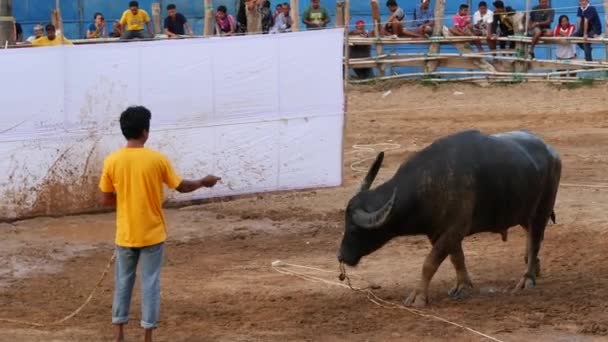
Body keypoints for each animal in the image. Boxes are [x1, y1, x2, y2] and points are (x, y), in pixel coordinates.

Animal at [338, 130, 560, 308]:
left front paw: (419, 296)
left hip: (541, 212)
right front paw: (463, 286)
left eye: (354, 229)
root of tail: (552, 152)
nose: (341, 256)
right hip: (525, 214)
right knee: (532, 238)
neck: (429, 183)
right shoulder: (440, 233)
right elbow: (456, 257)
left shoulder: (454, 229)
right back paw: (534, 267)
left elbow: (429, 263)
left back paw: (527, 278)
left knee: (534, 242)